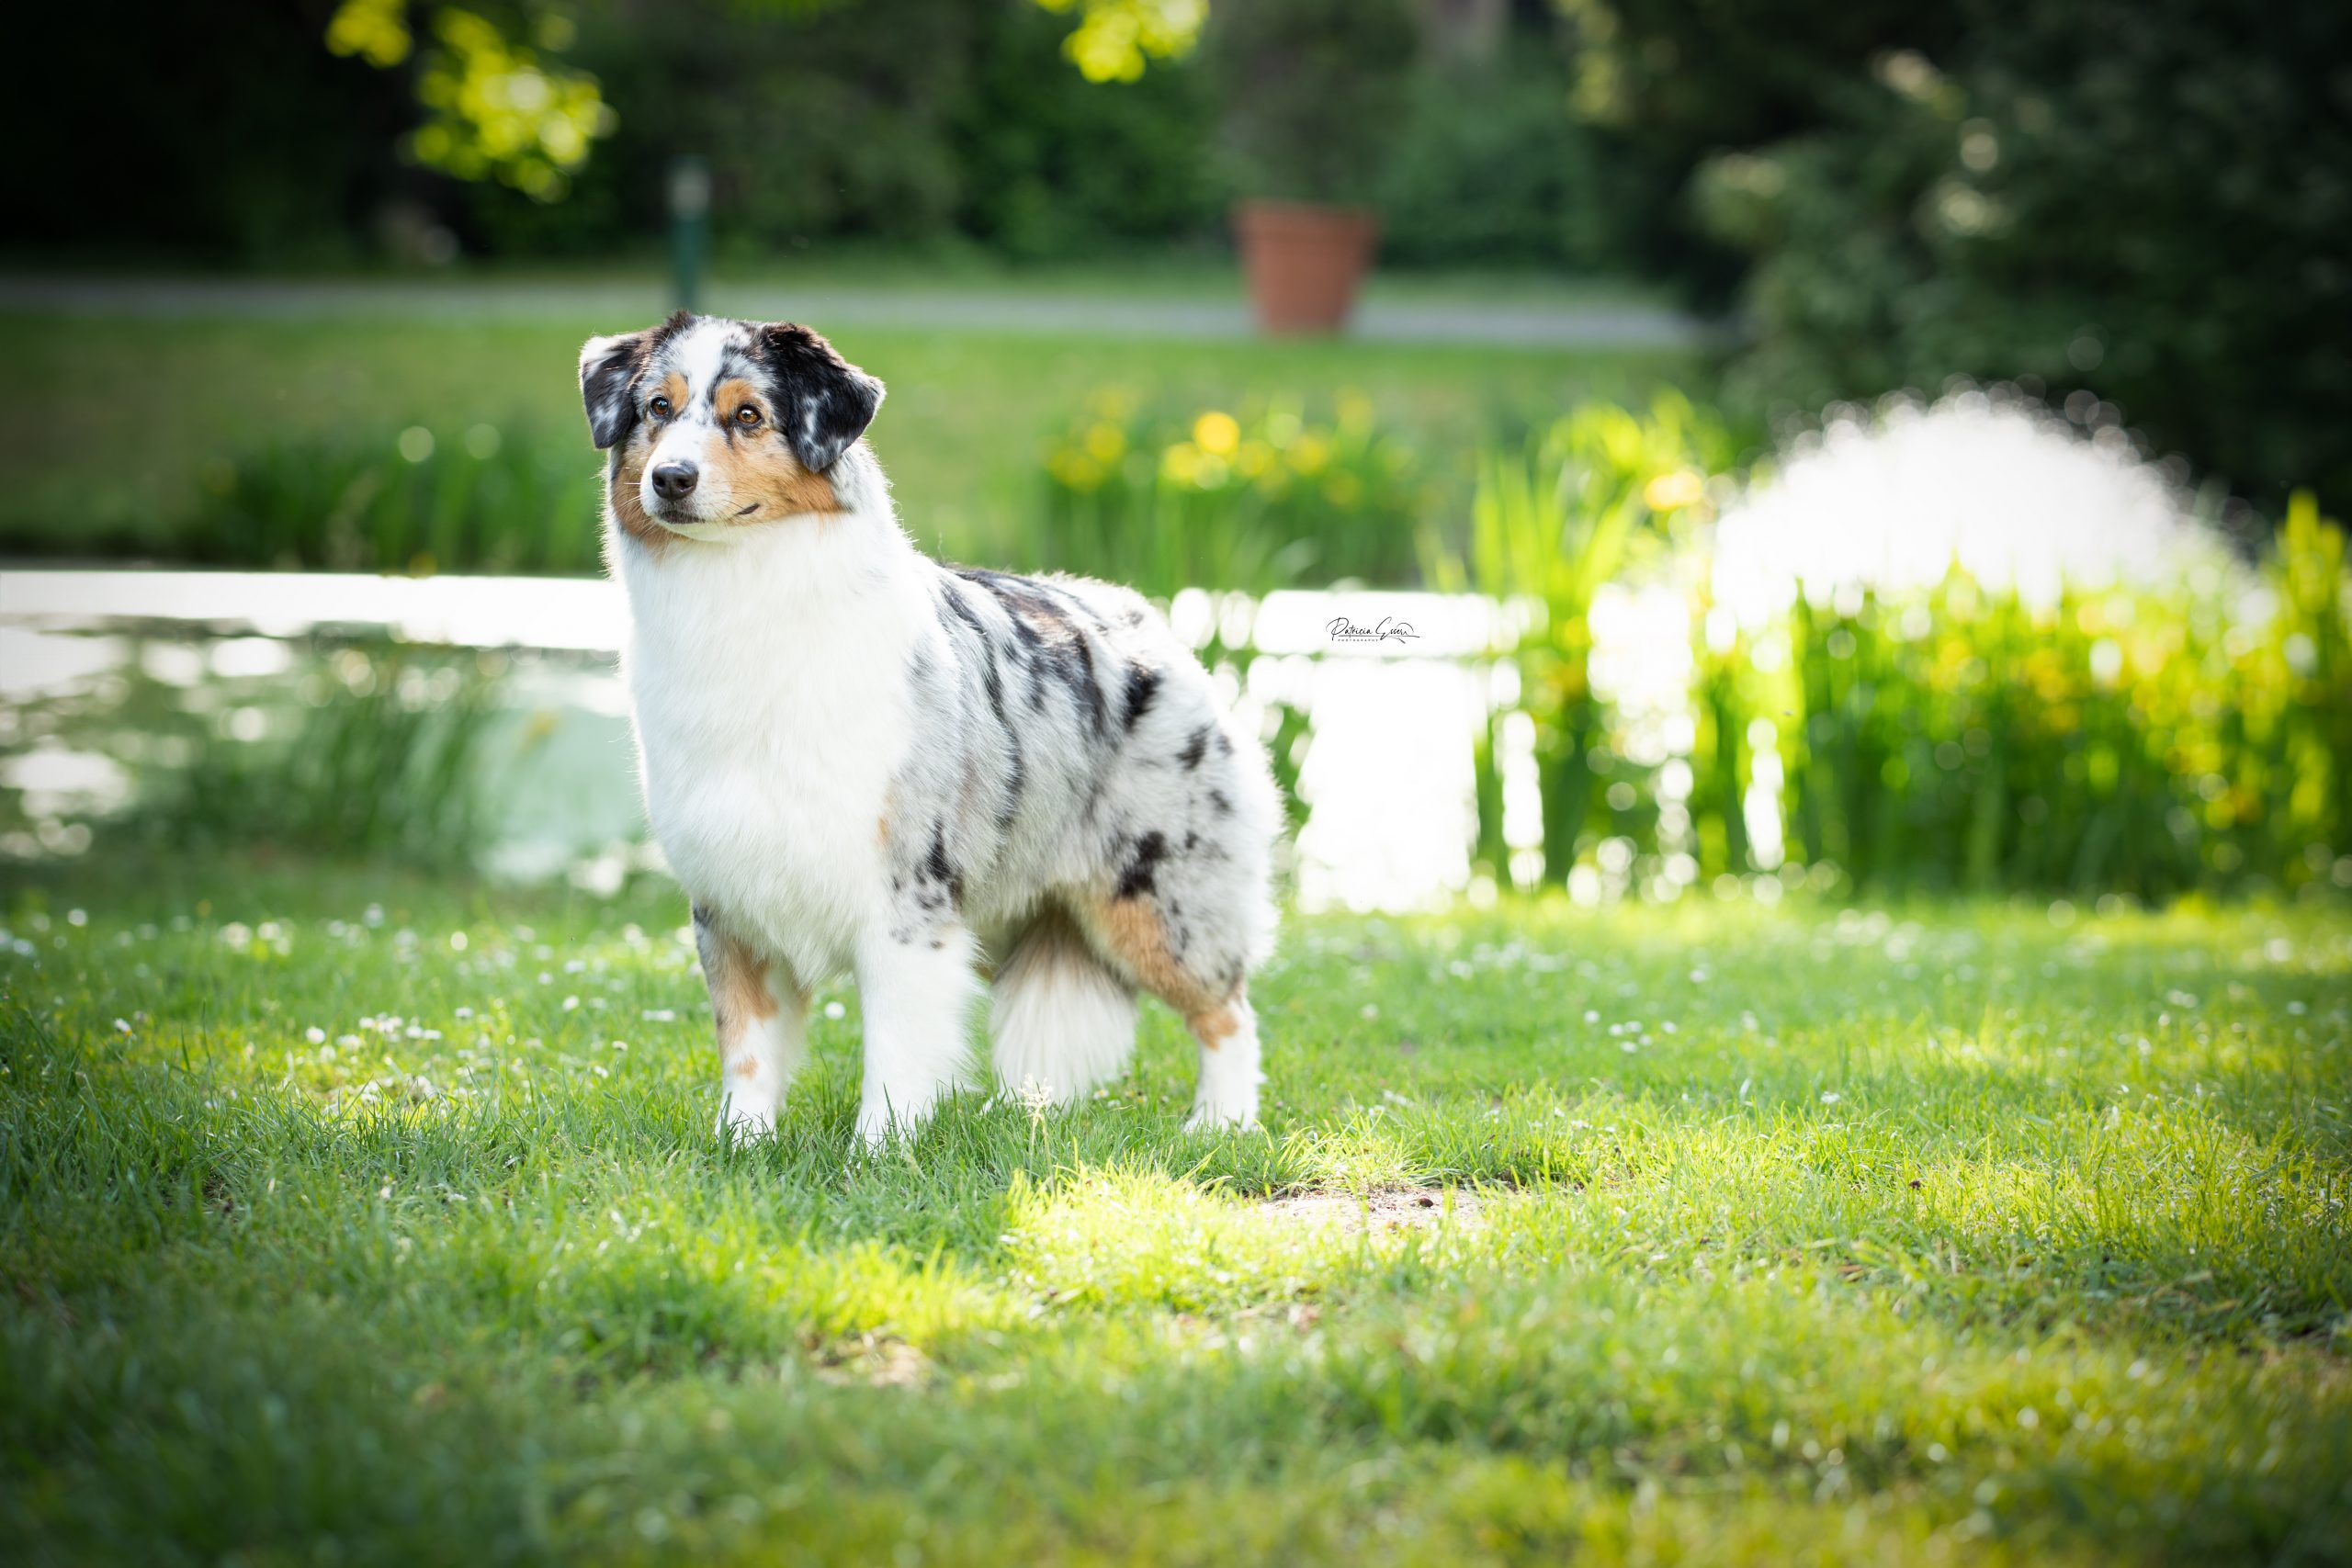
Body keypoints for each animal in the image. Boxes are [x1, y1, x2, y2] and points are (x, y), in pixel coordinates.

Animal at [579, 313, 1280, 1147]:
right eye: (657, 407)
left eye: (748, 415)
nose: (671, 479)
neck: (740, 592)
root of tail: (1152, 624)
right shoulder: (729, 893)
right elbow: (746, 1045)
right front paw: (742, 1146)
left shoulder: (906, 895)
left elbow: (894, 1049)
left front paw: (879, 1155)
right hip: (1016, 902)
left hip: (1160, 899)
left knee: (1229, 1011)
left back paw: (1221, 1126)